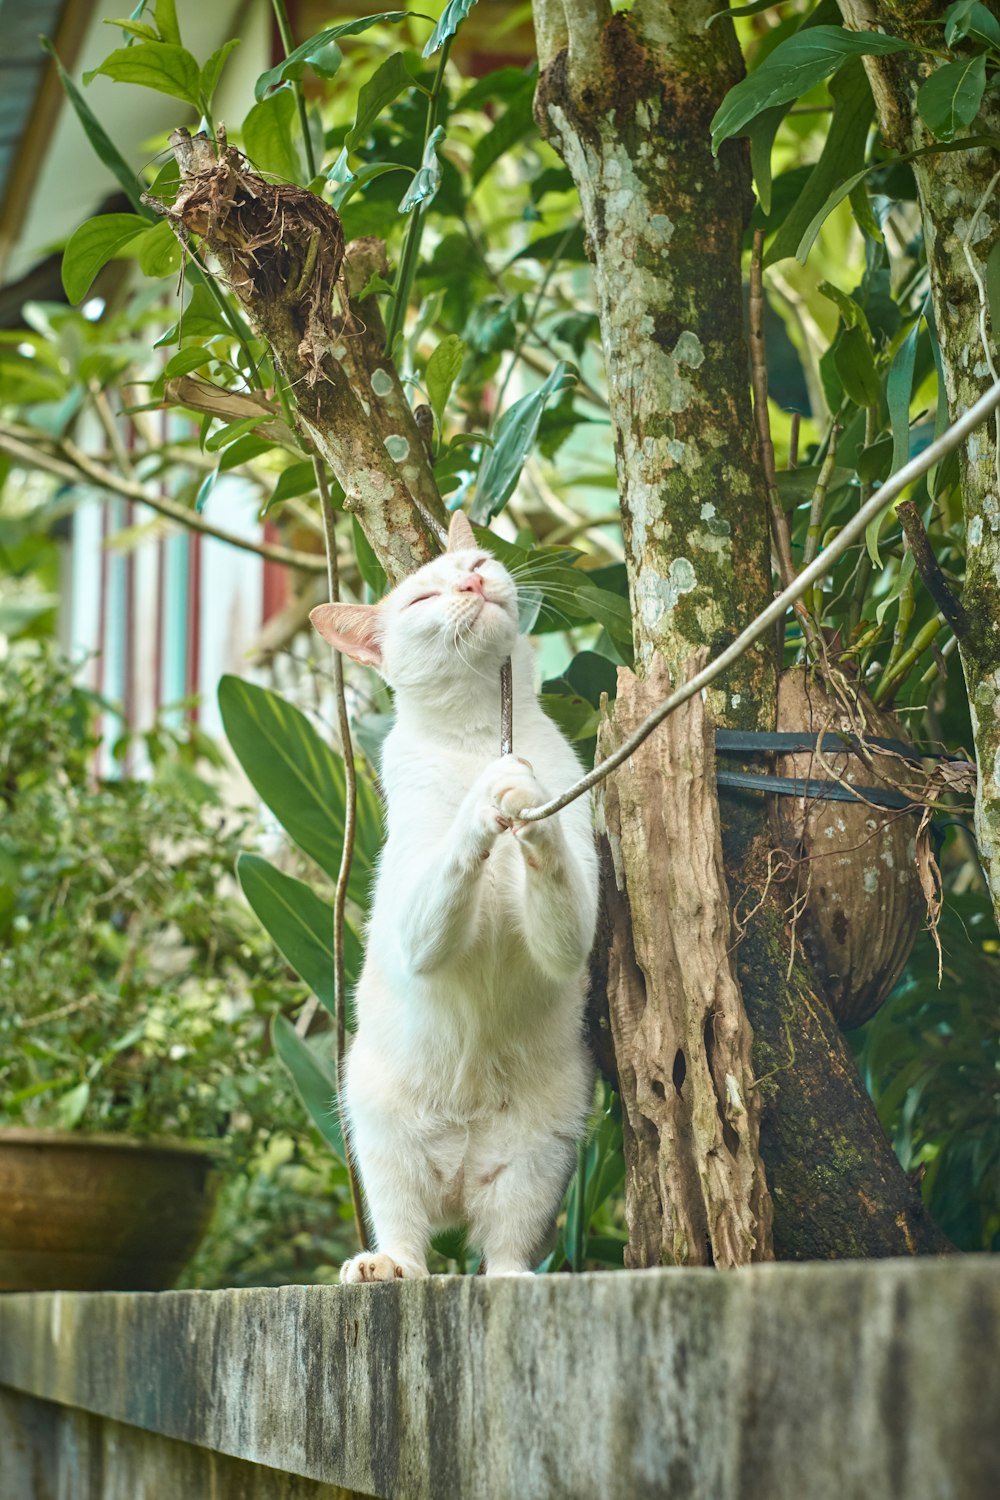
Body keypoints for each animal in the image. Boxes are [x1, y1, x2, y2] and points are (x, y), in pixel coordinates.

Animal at [308, 513, 599, 1278]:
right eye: (420, 599)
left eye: (475, 563)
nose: (469, 584)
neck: (475, 737)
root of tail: (460, 1175)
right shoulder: (417, 925)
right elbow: (455, 852)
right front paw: (487, 794)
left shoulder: (573, 923)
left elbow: (554, 870)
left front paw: (519, 790)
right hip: (376, 1131)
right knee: (407, 1231)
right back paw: (386, 1264)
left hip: (541, 1155)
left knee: (504, 1244)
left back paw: (515, 1278)